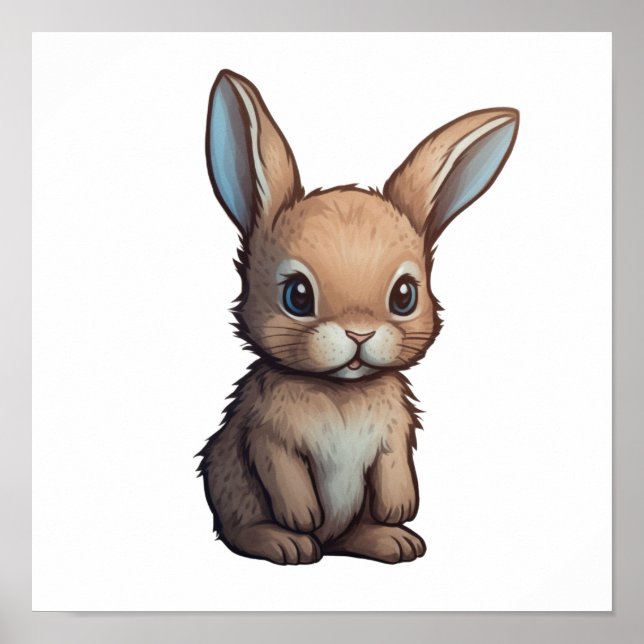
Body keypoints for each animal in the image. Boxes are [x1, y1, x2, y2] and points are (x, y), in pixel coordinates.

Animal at [197, 69, 519, 565]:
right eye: (297, 296)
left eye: (404, 296)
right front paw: (301, 519)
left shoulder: (394, 435)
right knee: (244, 529)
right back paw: (286, 542)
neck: (342, 391)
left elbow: (395, 469)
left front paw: (402, 509)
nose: (359, 334)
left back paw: (393, 540)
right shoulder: (268, 436)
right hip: (231, 488)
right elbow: (284, 473)